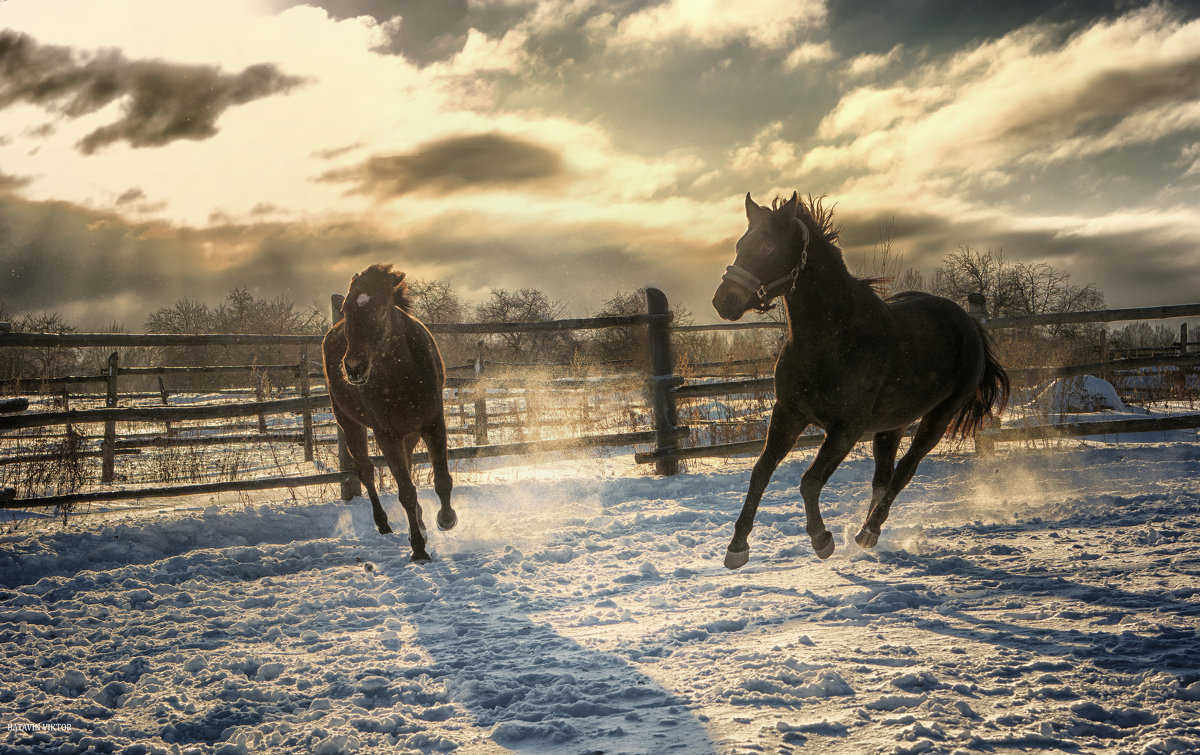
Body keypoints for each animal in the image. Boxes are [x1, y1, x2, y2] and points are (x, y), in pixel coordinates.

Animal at [321, 261, 456, 561]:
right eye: (345, 308)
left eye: (382, 308)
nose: (354, 368)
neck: (403, 376)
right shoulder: (386, 434)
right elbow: (405, 491)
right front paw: (418, 549)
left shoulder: (433, 424)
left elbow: (442, 479)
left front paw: (446, 519)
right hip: (350, 425)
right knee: (366, 471)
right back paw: (383, 524)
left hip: (409, 433)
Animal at [705, 193, 1008, 566]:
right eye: (740, 244)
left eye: (766, 246)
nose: (724, 301)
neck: (831, 340)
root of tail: (970, 322)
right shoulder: (789, 414)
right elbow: (761, 471)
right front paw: (737, 547)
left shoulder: (846, 428)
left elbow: (809, 481)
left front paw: (822, 540)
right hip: (892, 424)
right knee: (883, 476)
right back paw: (866, 529)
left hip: (939, 418)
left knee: (905, 471)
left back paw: (870, 531)